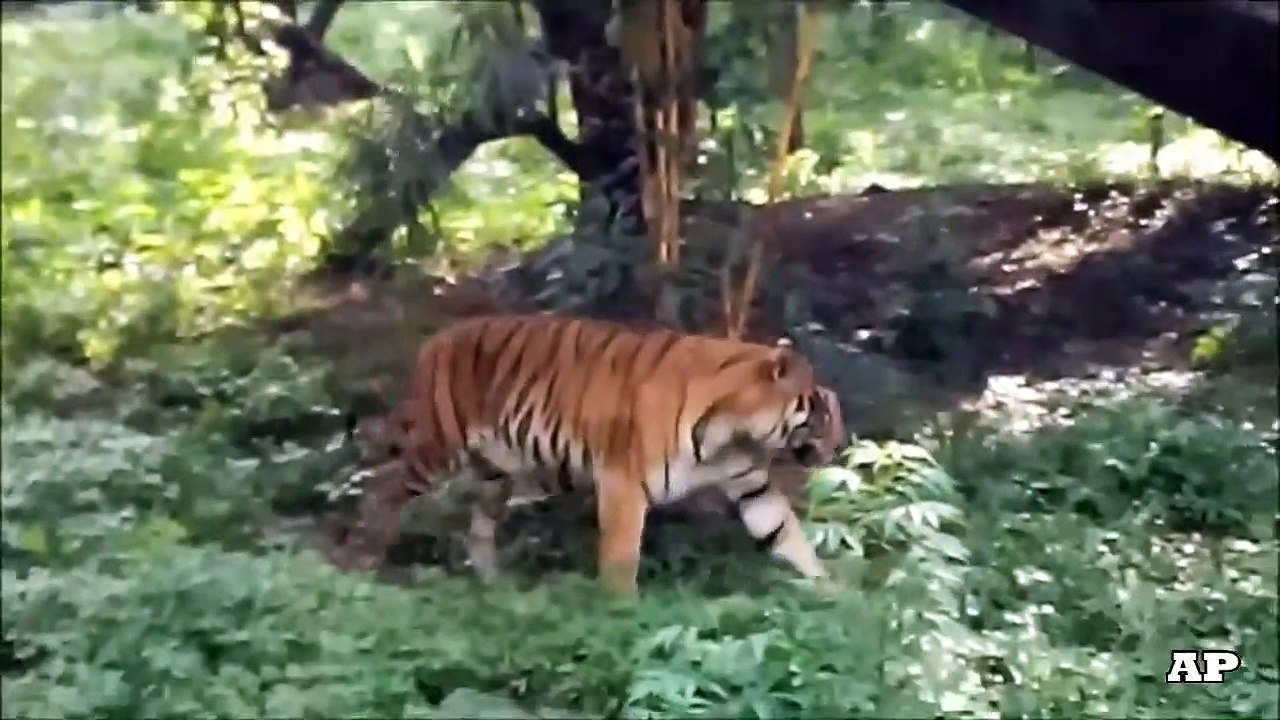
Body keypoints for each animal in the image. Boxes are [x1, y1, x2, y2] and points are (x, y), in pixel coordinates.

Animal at [328, 314, 846, 594]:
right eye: (822, 411)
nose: (837, 447)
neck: (735, 431)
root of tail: (433, 342)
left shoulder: (750, 483)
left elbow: (787, 535)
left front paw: (836, 597)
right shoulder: (624, 483)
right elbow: (621, 556)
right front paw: (622, 615)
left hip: (497, 472)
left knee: (477, 530)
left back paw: (499, 588)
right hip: (438, 445)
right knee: (383, 487)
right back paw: (359, 562)